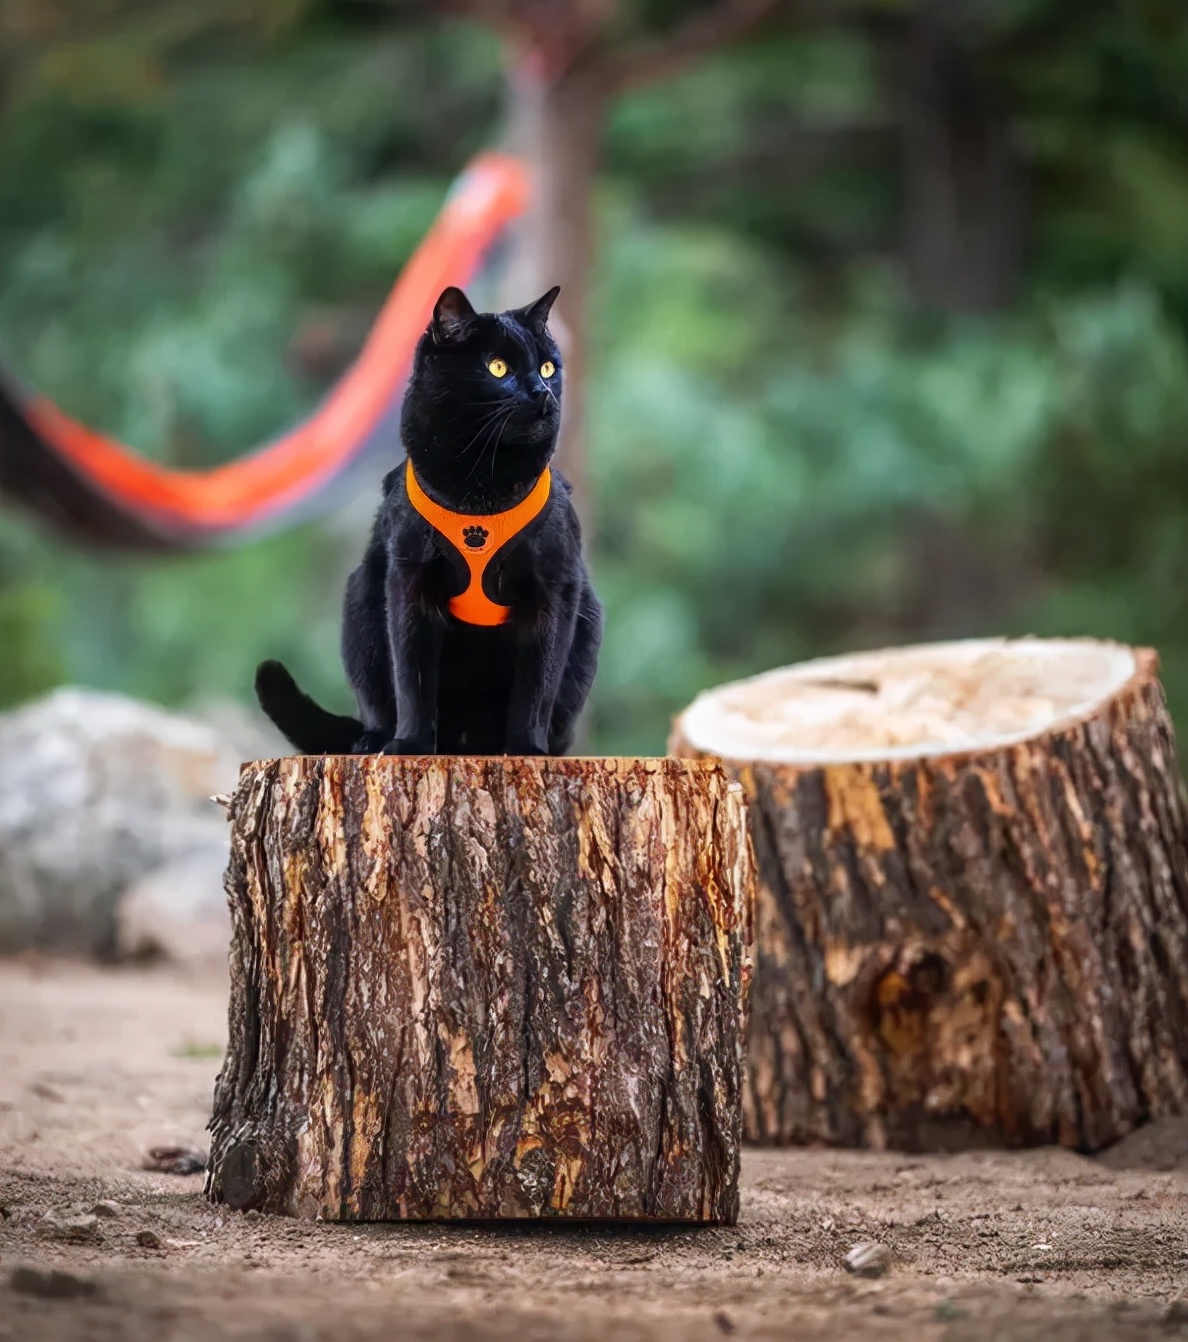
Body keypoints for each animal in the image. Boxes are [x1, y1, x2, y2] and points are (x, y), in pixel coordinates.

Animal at [253, 283, 598, 756]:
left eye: (548, 367)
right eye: (498, 367)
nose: (542, 392)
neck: (480, 487)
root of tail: (468, 743)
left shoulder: (555, 589)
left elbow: (537, 686)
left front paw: (527, 749)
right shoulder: (409, 581)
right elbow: (412, 677)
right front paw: (411, 744)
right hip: (362, 598)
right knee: (379, 703)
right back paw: (375, 741)